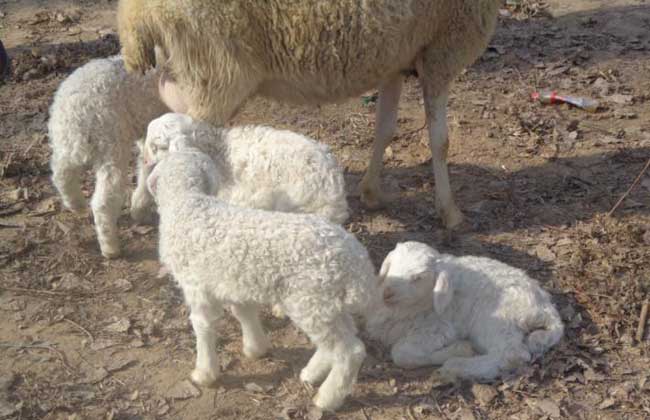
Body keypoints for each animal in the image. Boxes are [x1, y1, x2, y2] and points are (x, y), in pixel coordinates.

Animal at [49, 55, 168, 260]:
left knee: (60, 174)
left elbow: (147, 168)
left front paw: (139, 208)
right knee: (104, 201)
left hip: (65, 141)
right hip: (111, 145)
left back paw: (76, 204)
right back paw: (110, 248)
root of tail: (79, 110)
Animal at [144, 150, 372, 410]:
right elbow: (244, 312)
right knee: (337, 341)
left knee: (350, 351)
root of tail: (358, 262)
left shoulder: (197, 287)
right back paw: (311, 374)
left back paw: (327, 398)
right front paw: (256, 348)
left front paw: (204, 373)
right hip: (329, 304)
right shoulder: (236, 281)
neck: (187, 202)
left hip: (311, 300)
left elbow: (203, 326)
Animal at [364, 241, 560, 382]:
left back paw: (457, 366)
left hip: (495, 318)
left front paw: (459, 349)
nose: (387, 293)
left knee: (511, 354)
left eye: (418, 278)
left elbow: (401, 354)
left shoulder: (438, 327)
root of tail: (545, 307)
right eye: (391, 265)